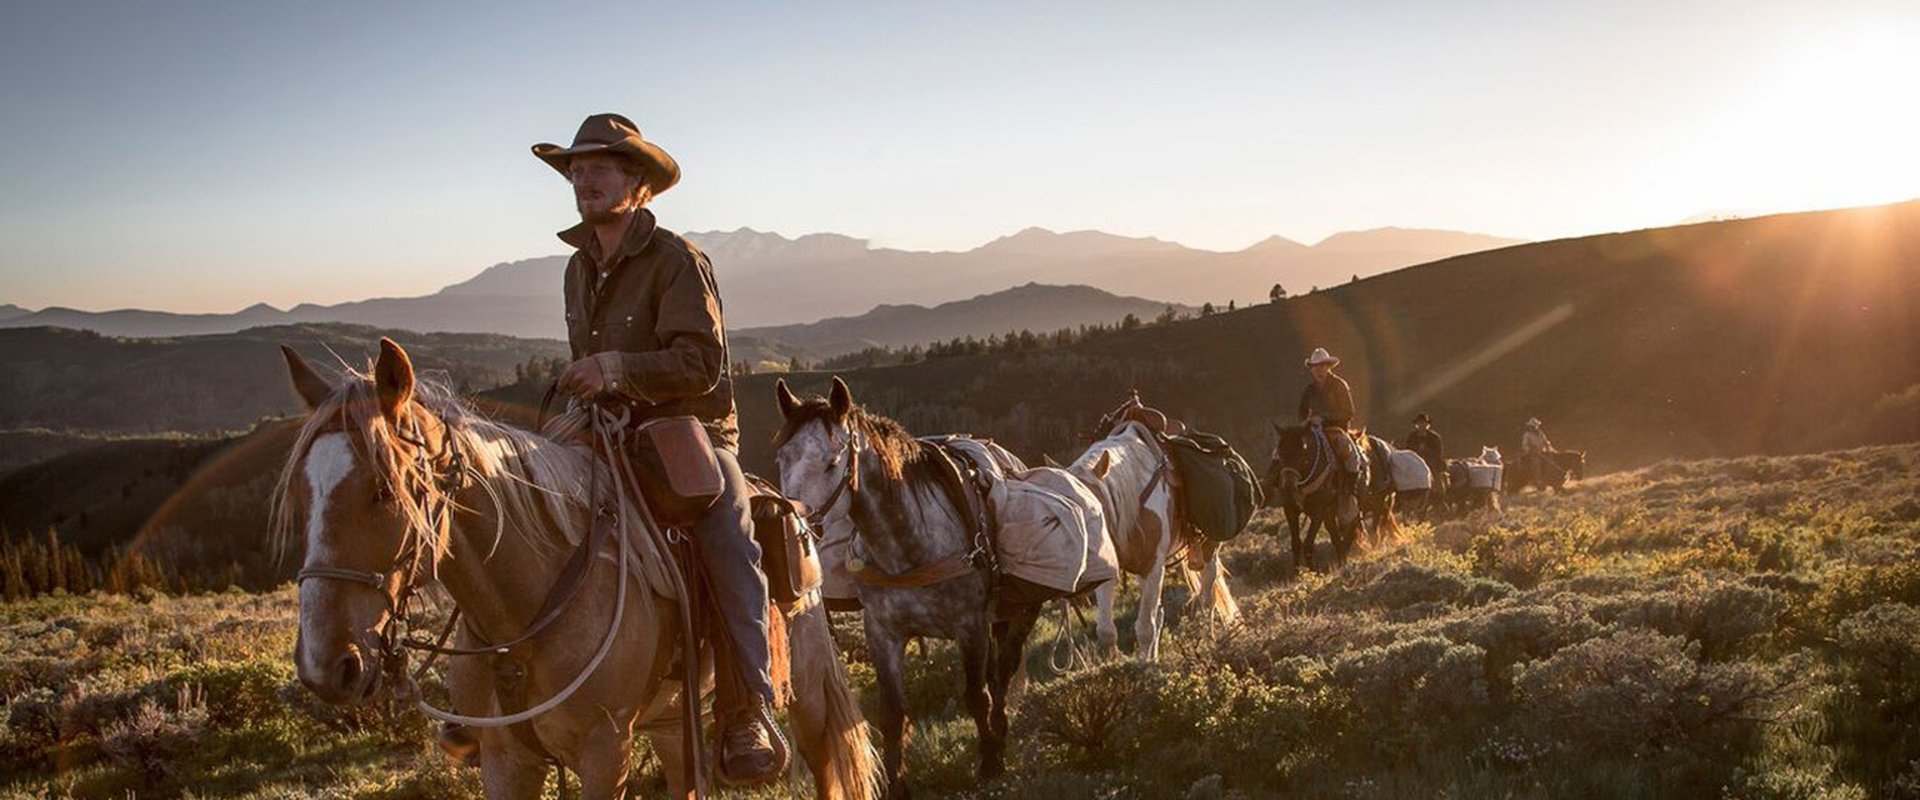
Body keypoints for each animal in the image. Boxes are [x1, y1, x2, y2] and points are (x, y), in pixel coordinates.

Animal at [276, 337, 879, 798]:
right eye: (303, 495)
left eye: (383, 490)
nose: (324, 667)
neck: (527, 611)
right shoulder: (506, 760)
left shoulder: (604, 752)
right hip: (673, 722)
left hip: (806, 693)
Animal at [768, 377, 1052, 794]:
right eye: (782, 458)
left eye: (833, 461)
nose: (793, 528)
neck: (908, 545)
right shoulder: (884, 634)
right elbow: (892, 713)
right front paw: (897, 784)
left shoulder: (970, 627)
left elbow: (976, 696)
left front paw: (989, 763)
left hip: (1019, 614)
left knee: (1002, 672)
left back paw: (999, 735)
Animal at [1059, 420, 1236, 656]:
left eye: (1091, 509)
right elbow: (1107, 631)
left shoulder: (1153, 566)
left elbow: (1145, 629)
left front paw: (1144, 665)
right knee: (1159, 614)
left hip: (1208, 550)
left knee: (1208, 598)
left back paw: (1209, 639)